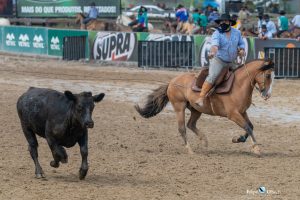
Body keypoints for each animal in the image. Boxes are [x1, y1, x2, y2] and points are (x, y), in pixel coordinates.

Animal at [135, 59, 274, 155]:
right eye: (268, 75)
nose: (267, 95)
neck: (238, 85)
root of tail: (172, 82)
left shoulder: (243, 112)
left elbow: (250, 126)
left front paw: (237, 139)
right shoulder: (233, 114)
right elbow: (247, 127)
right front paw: (256, 148)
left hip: (196, 110)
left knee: (190, 124)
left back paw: (204, 140)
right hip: (179, 107)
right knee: (182, 128)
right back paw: (190, 150)